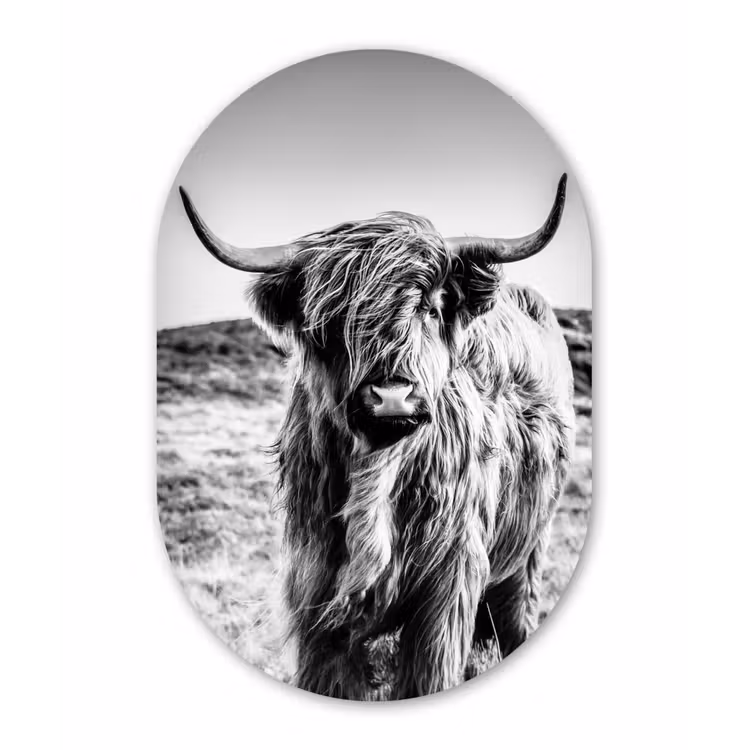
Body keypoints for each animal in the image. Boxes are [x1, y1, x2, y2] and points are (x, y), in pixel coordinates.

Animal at [179, 175, 576, 700]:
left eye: (431, 309)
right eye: (331, 321)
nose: (391, 396)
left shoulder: (447, 591)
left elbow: (429, 677)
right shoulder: (316, 594)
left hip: (527, 558)